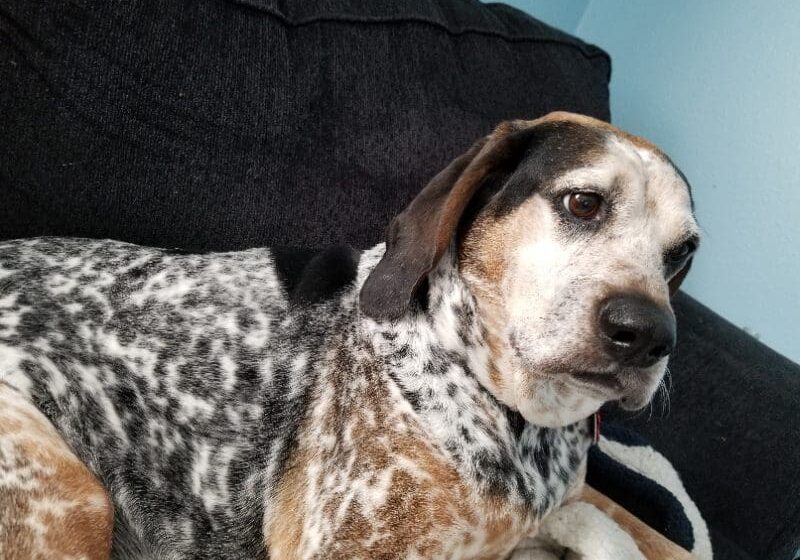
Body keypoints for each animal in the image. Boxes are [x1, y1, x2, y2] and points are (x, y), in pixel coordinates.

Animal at [0, 111, 696, 556]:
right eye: (583, 203)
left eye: (683, 253)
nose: (649, 335)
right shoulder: (346, 545)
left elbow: (658, 538)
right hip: (74, 497)